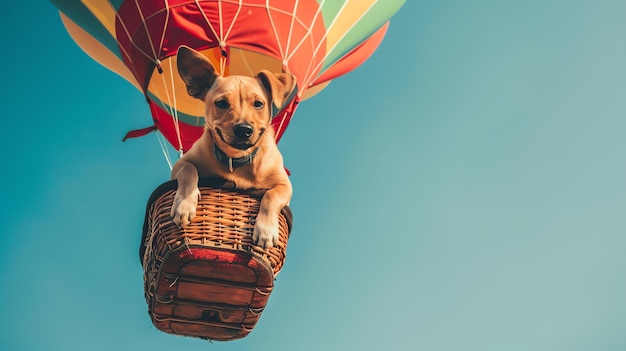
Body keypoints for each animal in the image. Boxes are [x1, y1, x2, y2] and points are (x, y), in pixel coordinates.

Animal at [169, 46, 294, 250]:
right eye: (221, 103)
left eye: (258, 104)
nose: (244, 129)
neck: (237, 159)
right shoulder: (180, 164)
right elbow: (189, 170)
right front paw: (185, 204)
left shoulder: (285, 185)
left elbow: (271, 195)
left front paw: (266, 230)